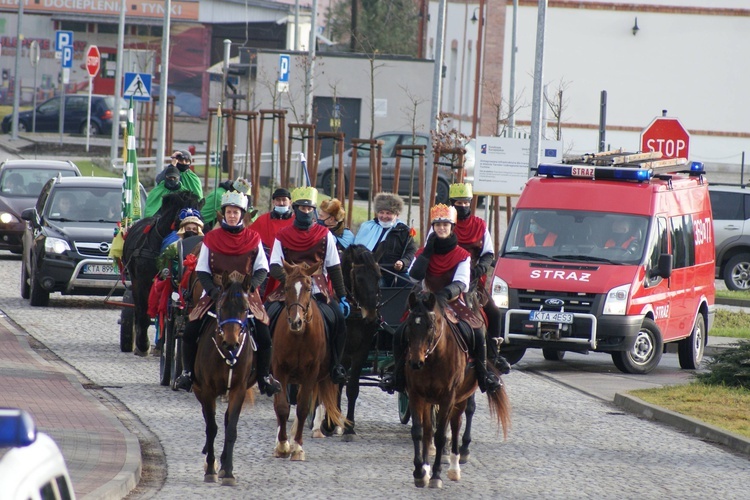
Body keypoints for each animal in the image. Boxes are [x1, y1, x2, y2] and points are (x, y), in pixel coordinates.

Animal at [121, 190, 204, 356]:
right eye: (180, 218)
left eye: (202, 219)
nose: (194, 249)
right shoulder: (143, 282)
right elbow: (144, 314)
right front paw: (143, 344)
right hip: (136, 281)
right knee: (140, 308)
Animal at [194, 272, 258, 486]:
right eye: (221, 306)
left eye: (245, 309)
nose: (231, 343)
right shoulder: (207, 390)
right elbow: (211, 428)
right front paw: (210, 469)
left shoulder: (239, 390)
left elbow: (231, 429)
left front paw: (228, 471)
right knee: (209, 421)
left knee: (226, 419)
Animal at [274, 262, 346, 460]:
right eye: (286, 287)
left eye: (308, 288)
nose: (296, 322)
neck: (299, 336)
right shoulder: (280, 370)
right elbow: (282, 406)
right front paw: (282, 445)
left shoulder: (310, 373)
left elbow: (303, 407)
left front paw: (297, 447)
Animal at [402, 292, 516, 490]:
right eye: (409, 325)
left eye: (430, 326)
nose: (415, 363)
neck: (433, 358)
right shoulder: (417, 395)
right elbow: (418, 431)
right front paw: (420, 472)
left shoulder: (448, 397)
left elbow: (441, 435)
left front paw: (436, 475)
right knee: (430, 430)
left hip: (460, 397)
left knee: (456, 424)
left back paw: (454, 466)